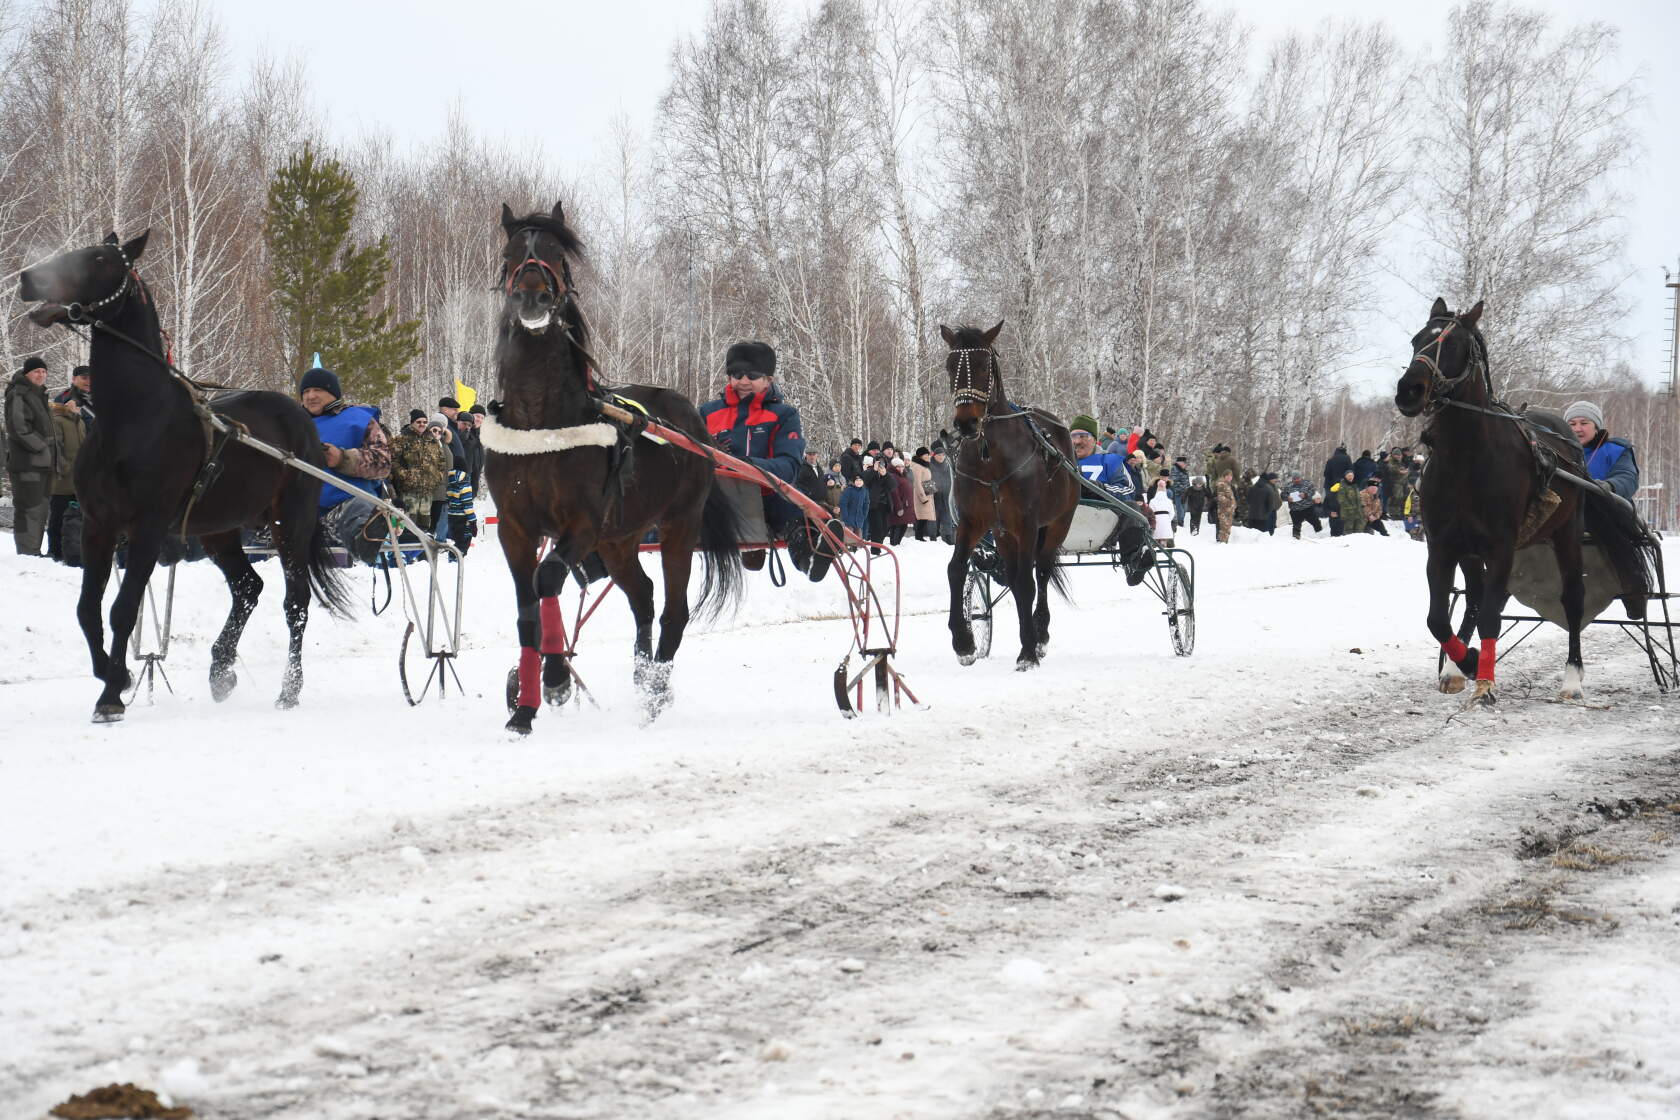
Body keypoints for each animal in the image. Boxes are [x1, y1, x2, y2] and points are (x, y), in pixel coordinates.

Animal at [18, 231, 351, 722]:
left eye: (98, 258)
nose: (28, 278)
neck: (133, 419)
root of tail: (301, 416)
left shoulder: (148, 528)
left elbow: (122, 610)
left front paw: (111, 695)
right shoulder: (98, 526)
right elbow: (87, 610)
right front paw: (117, 676)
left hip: (289, 521)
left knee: (296, 602)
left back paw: (289, 689)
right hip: (219, 529)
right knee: (248, 587)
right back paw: (221, 670)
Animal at [490, 201, 745, 735]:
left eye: (557, 254)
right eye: (509, 255)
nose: (532, 296)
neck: (543, 421)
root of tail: (693, 422)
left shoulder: (583, 523)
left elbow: (548, 579)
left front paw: (556, 678)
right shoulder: (515, 526)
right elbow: (526, 607)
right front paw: (524, 707)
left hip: (678, 523)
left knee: (673, 610)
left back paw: (656, 690)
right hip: (621, 537)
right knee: (643, 595)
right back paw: (643, 674)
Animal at [940, 319, 1081, 671]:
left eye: (982, 364)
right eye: (950, 365)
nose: (966, 422)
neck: (990, 455)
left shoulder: (1026, 523)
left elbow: (1027, 584)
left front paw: (1028, 650)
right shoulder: (974, 521)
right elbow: (956, 569)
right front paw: (963, 642)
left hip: (1057, 523)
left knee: (1040, 573)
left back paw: (1039, 634)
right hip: (1003, 535)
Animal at [1391, 295, 1653, 701]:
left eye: (1454, 344)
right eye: (1417, 340)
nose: (1409, 390)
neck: (1466, 458)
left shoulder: (1501, 545)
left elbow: (1491, 615)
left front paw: (1483, 682)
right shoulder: (1443, 544)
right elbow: (1438, 618)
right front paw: (1465, 662)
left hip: (1567, 532)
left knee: (1573, 597)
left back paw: (1572, 678)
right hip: (1473, 550)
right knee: (1474, 597)